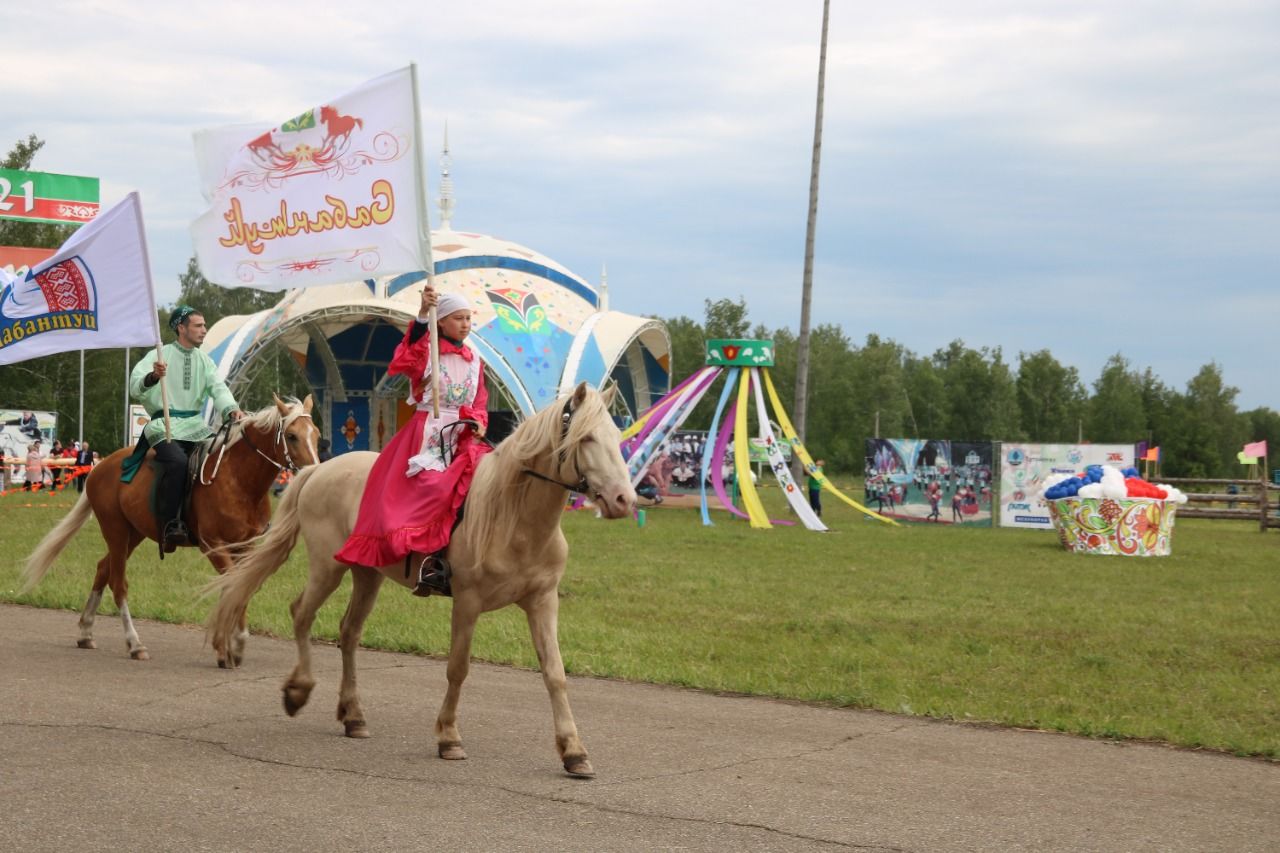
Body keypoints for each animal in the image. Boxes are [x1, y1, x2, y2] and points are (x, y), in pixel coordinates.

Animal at [22, 394, 320, 660]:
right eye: (291, 436)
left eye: (316, 435)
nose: (315, 472)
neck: (237, 478)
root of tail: (99, 467)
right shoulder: (213, 545)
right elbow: (232, 586)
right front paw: (227, 644)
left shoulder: (245, 547)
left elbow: (241, 587)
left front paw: (233, 643)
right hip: (115, 530)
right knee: (118, 582)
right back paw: (134, 644)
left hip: (134, 534)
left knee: (103, 569)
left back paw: (86, 632)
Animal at [206, 381, 640, 773]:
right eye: (585, 438)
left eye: (616, 437)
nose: (624, 500)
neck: (513, 516)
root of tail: (317, 469)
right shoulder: (467, 602)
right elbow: (458, 668)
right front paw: (449, 737)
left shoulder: (542, 601)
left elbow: (555, 673)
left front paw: (574, 751)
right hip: (328, 567)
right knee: (301, 614)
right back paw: (298, 691)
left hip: (367, 574)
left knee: (349, 632)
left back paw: (353, 715)